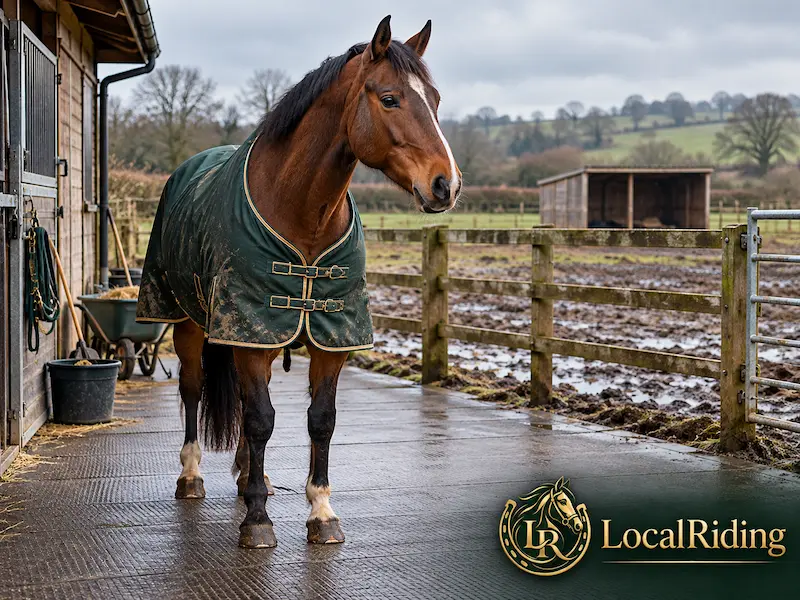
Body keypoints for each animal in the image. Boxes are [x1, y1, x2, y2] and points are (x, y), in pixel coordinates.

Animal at [136, 15, 461, 549]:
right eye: (389, 98)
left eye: (433, 99)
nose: (446, 185)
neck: (303, 213)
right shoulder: (247, 327)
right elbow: (260, 418)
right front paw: (257, 520)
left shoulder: (327, 338)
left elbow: (319, 420)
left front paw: (321, 512)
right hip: (188, 321)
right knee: (193, 388)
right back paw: (192, 475)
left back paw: (254, 476)